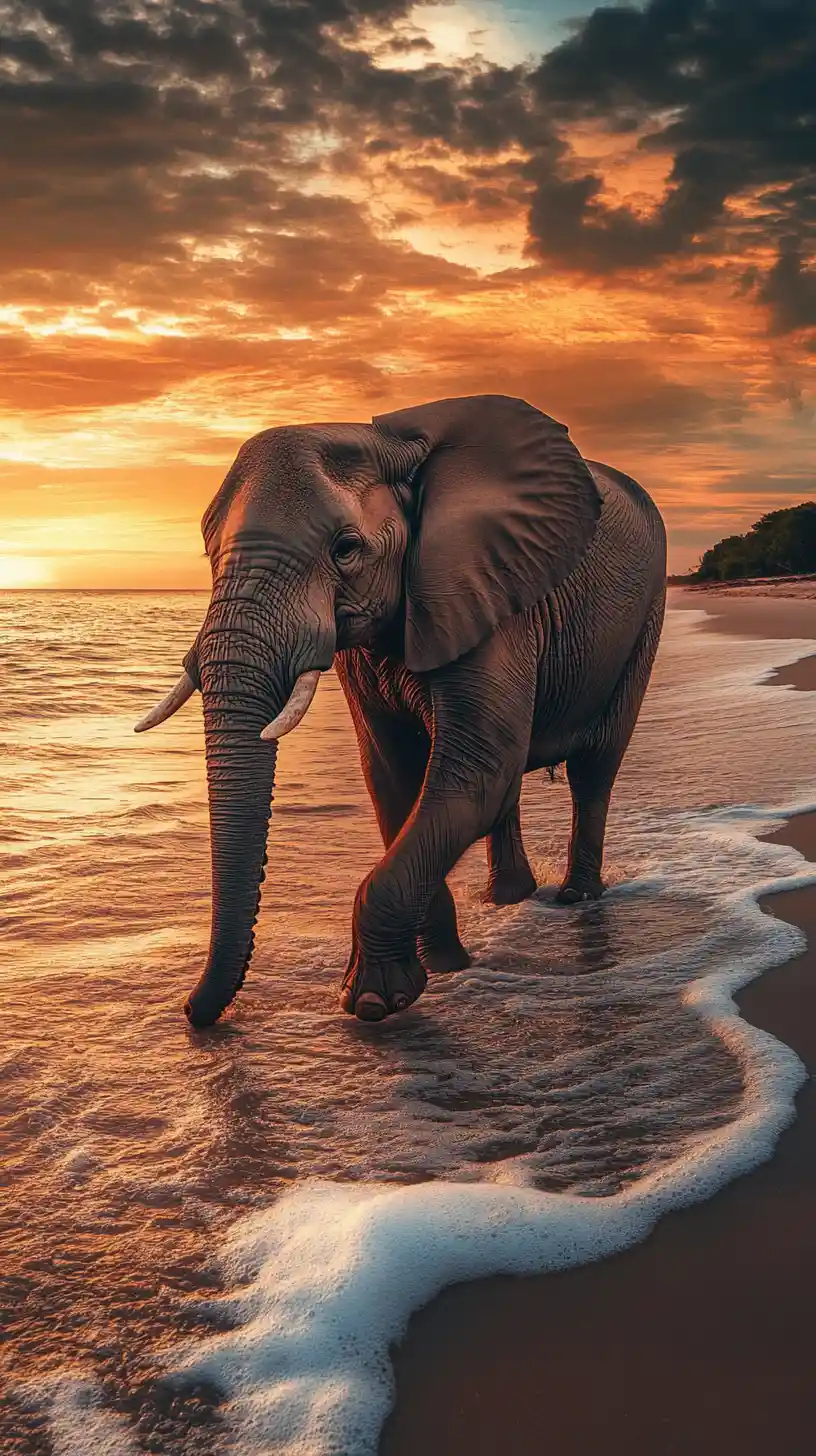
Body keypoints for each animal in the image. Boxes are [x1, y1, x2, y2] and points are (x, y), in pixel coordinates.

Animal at [135, 394, 666, 1028]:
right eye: (208, 553)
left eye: (345, 549)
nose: (193, 1013)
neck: (389, 444)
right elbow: (392, 777)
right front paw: (444, 968)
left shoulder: (483, 588)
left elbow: (472, 771)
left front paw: (371, 1002)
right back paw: (507, 900)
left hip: (645, 615)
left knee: (593, 768)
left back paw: (574, 898)